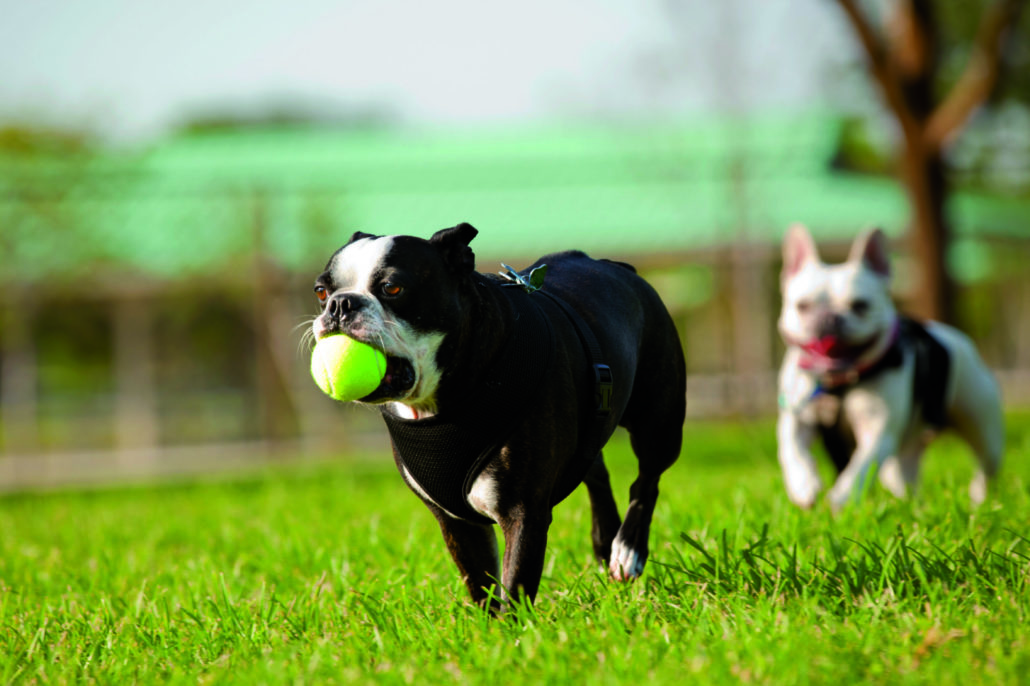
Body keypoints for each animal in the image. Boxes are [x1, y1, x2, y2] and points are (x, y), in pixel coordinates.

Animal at [313, 224, 683, 605]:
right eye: (321, 291)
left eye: (392, 288)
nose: (340, 304)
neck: (438, 405)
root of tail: (616, 265)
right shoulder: (457, 523)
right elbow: (482, 585)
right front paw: (488, 621)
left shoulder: (523, 512)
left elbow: (515, 584)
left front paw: (516, 622)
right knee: (595, 468)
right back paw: (605, 541)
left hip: (659, 420)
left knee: (647, 480)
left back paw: (627, 550)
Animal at [774, 224, 1001, 506]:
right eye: (802, 306)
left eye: (860, 305)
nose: (829, 319)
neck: (839, 381)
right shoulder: (796, 418)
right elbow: (793, 450)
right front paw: (804, 485)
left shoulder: (878, 433)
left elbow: (860, 469)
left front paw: (841, 500)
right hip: (906, 449)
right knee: (902, 474)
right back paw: (910, 503)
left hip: (983, 428)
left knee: (985, 466)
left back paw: (979, 498)